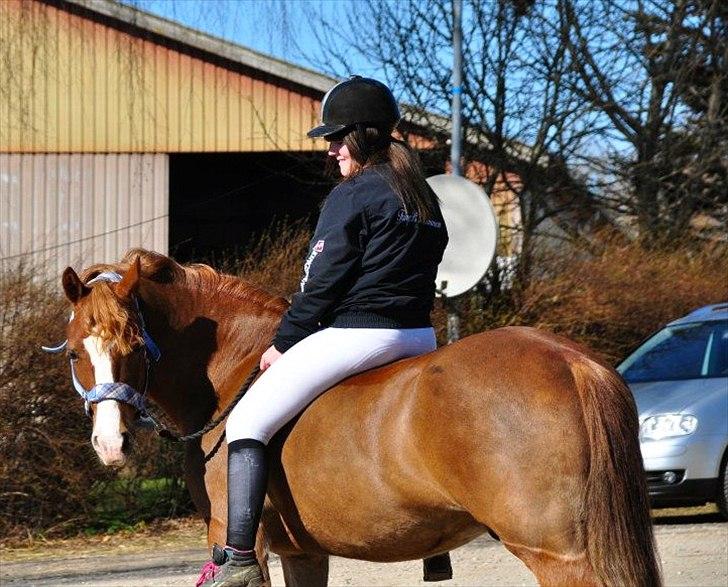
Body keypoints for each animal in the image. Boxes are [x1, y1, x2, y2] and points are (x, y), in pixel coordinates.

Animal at [50, 248, 660, 587]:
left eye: (134, 346)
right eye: (76, 350)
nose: (111, 444)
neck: (234, 370)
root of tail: (570, 359)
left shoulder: (234, 537)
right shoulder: (302, 552)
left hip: (557, 554)